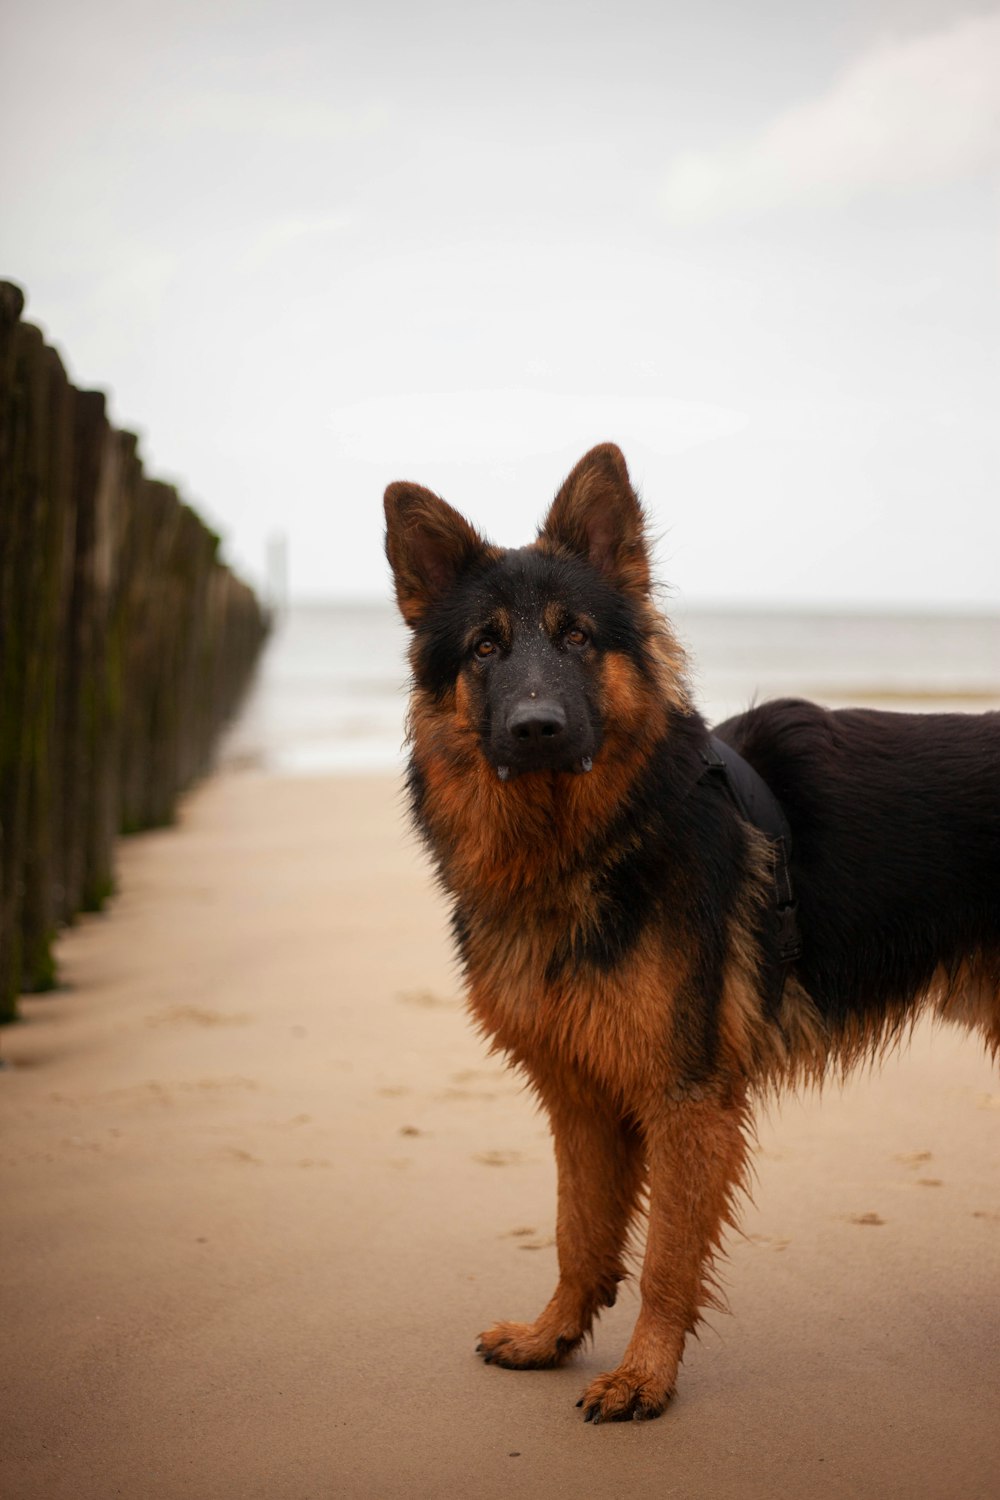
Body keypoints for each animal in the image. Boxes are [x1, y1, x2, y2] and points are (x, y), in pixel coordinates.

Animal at [383, 438, 1000, 1422]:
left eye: (577, 638)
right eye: (485, 647)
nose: (537, 728)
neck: (587, 847)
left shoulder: (687, 1100)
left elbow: (666, 1258)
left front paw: (644, 1375)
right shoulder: (580, 1098)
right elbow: (578, 1231)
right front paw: (553, 1335)